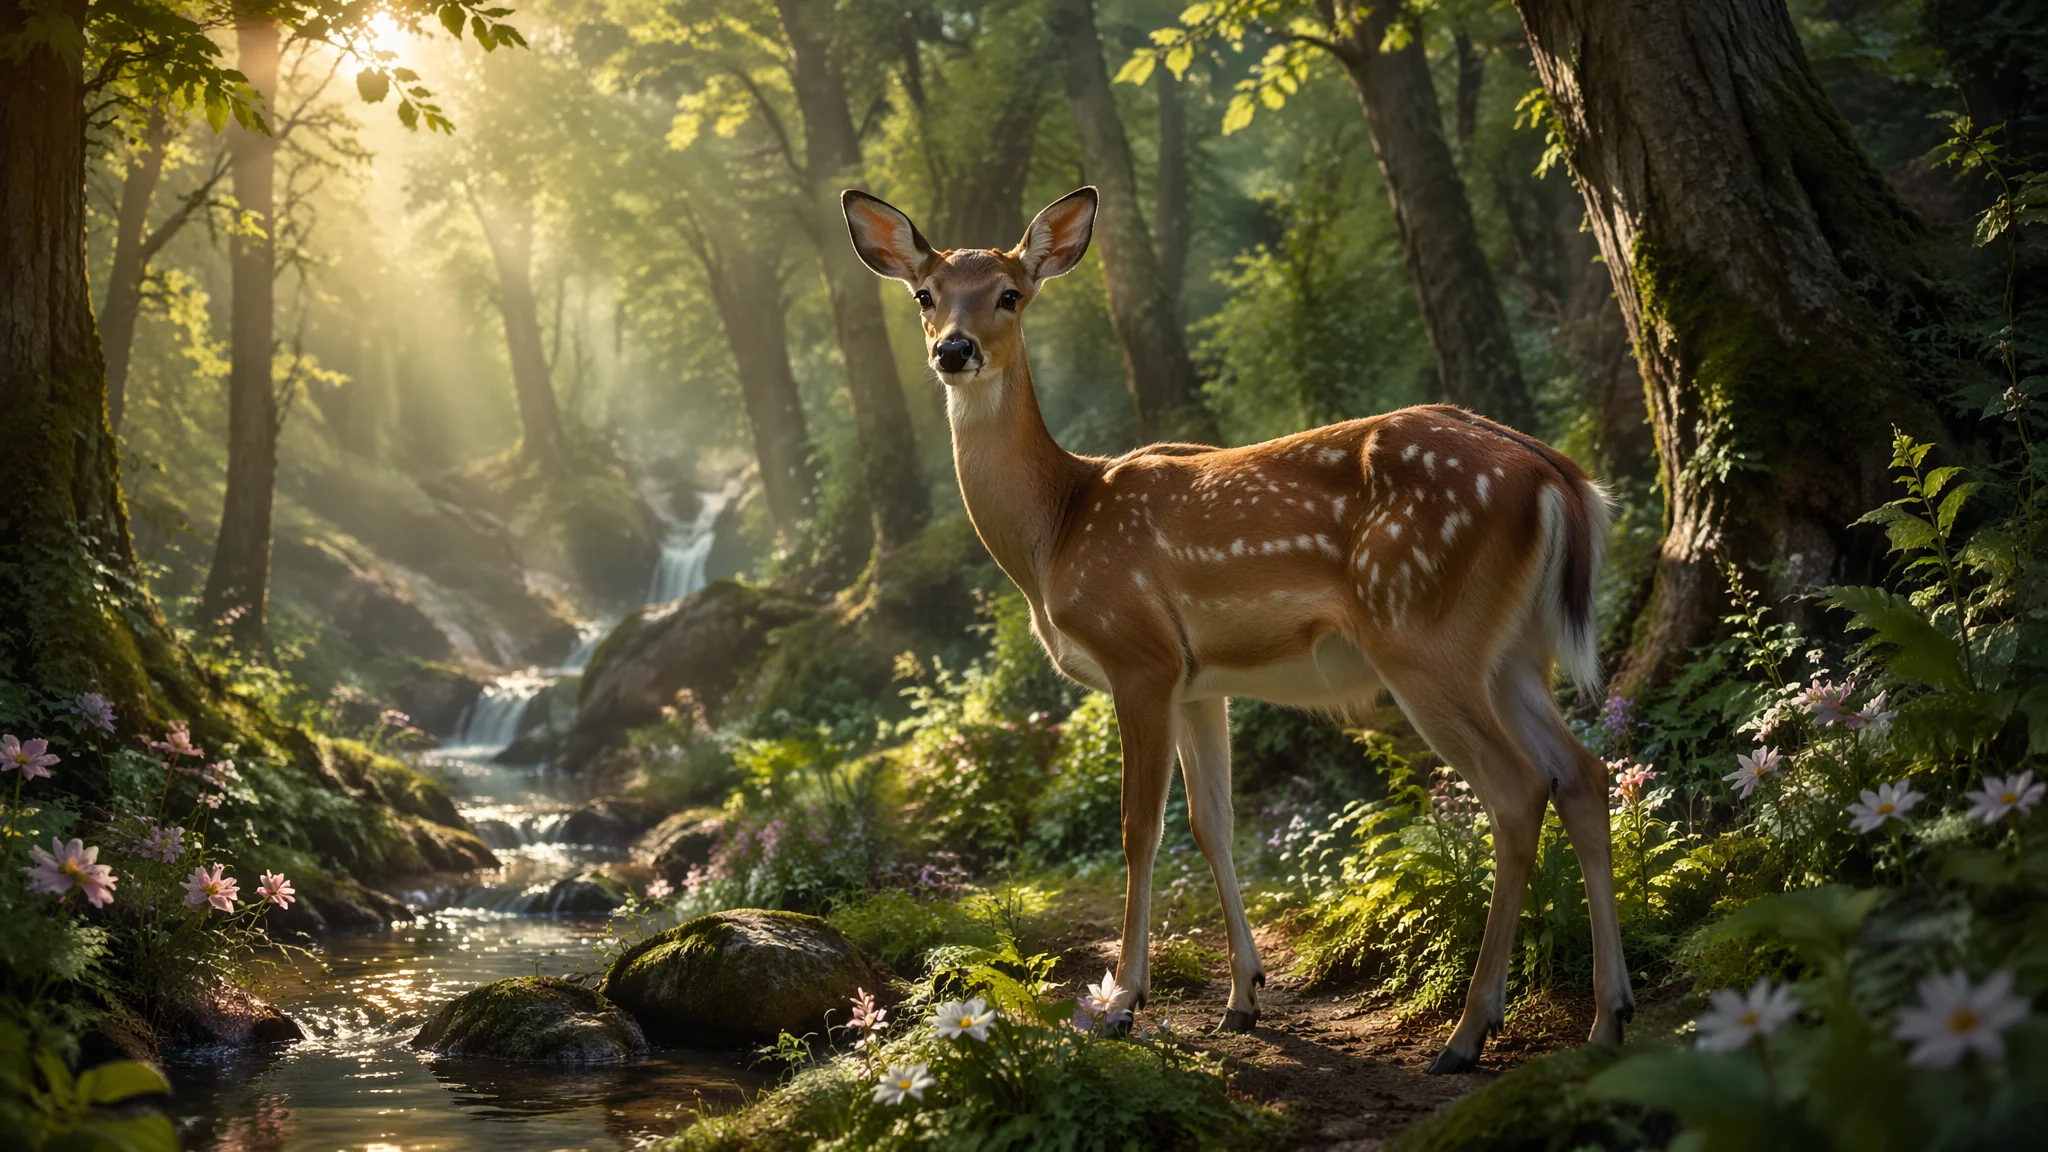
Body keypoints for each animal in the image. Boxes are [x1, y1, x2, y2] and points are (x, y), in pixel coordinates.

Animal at [843, 185, 1633, 1074]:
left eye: (1010, 294)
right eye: (925, 294)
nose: (954, 349)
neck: (1057, 532)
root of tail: (1559, 477)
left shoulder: (1139, 656)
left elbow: (1141, 828)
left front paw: (1123, 1002)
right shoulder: (1198, 682)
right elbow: (1212, 824)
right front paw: (1244, 997)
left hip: (1425, 636)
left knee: (1517, 790)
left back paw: (1468, 1032)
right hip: (1515, 651)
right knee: (1583, 772)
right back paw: (1609, 1016)